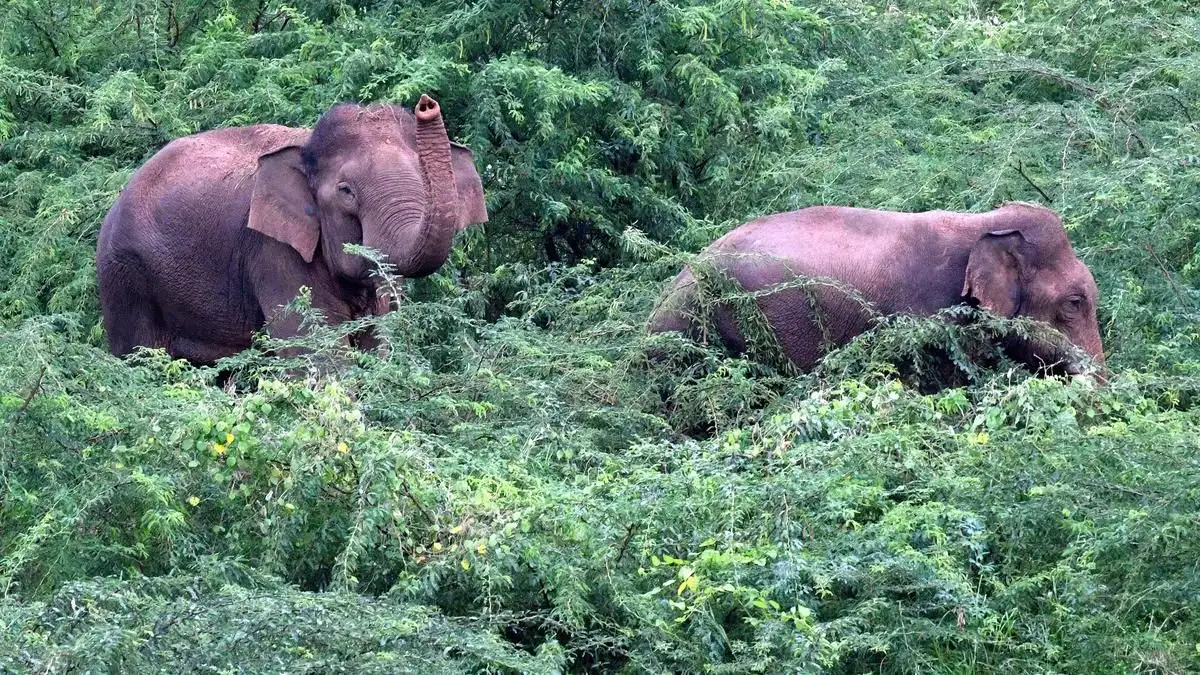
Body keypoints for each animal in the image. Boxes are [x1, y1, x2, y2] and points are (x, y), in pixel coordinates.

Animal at [96, 95, 488, 364]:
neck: (306, 146)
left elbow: (377, 344)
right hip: (124, 274)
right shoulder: (272, 249)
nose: (426, 104)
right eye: (346, 192)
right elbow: (318, 355)